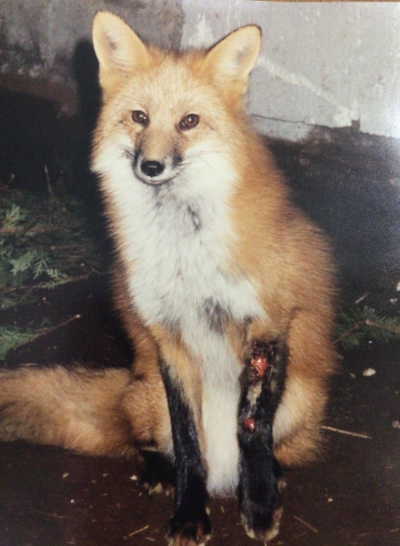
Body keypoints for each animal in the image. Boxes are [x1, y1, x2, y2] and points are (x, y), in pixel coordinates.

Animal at [0, 11, 337, 545]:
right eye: (140, 117)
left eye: (189, 121)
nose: (152, 166)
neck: (186, 252)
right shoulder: (169, 338)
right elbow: (188, 440)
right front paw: (189, 510)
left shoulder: (268, 325)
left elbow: (252, 428)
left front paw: (260, 503)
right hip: (149, 392)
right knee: (147, 438)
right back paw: (160, 470)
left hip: (301, 399)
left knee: (273, 443)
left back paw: (268, 476)